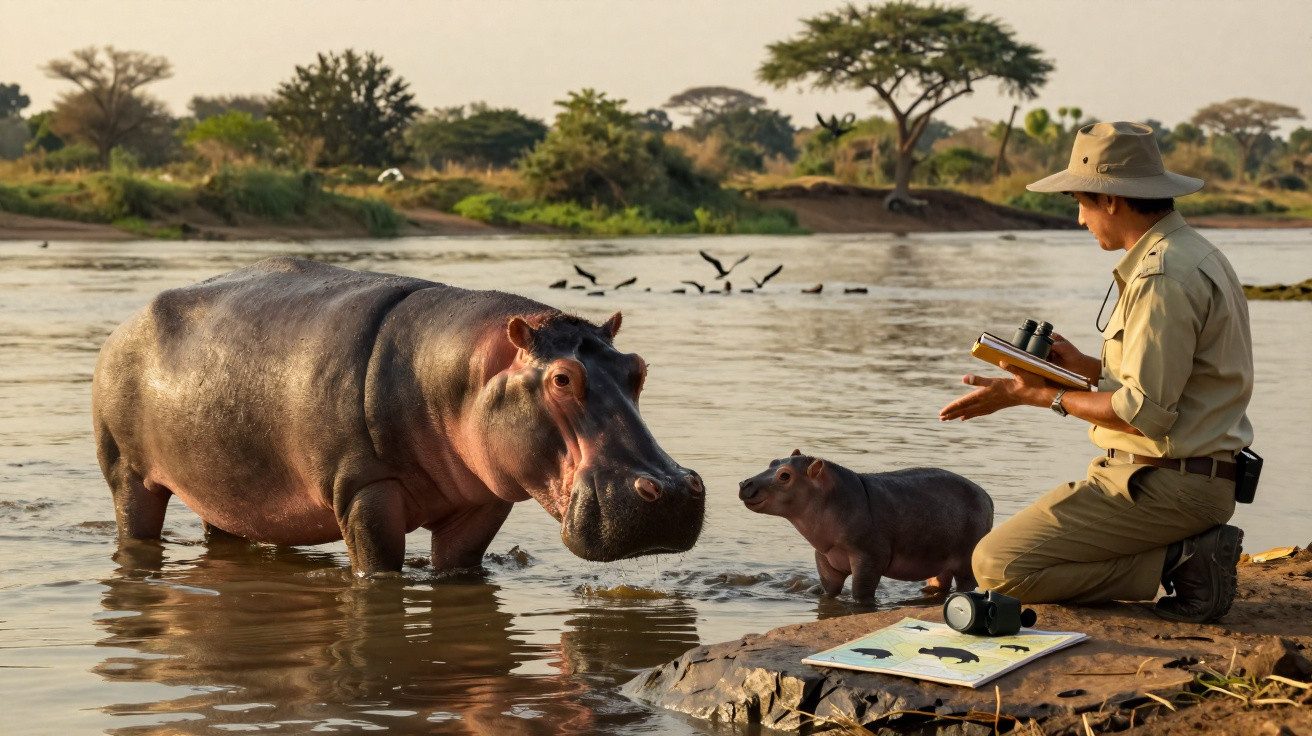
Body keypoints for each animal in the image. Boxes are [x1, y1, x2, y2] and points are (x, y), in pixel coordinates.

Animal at [91, 256, 705, 576]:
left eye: (637, 368)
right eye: (562, 379)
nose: (674, 490)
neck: (465, 373)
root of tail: (125, 325)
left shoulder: (483, 502)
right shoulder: (365, 489)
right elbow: (379, 565)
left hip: (222, 485)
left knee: (224, 525)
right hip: (127, 474)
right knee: (135, 517)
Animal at [738, 451, 992, 600]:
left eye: (784, 475)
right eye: (772, 462)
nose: (744, 483)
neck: (830, 494)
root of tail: (986, 496)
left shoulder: (868, 557)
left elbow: (861, 591)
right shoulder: (824, 556)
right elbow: (829, 588)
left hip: (966, 561)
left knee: (966, 583)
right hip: (938, 558)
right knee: (940, 581)